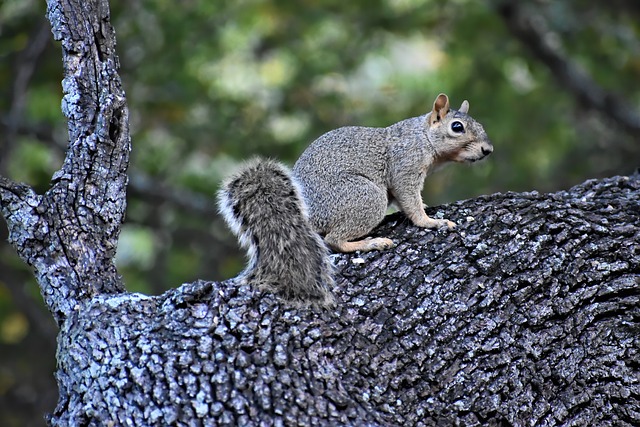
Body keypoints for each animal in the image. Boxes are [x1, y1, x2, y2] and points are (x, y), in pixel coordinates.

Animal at [218, 93, 492, 306]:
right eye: (457, 127)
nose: (487, 150)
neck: (421, 137)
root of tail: (308, 216)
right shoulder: (404, 166)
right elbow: (409, 199)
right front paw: (430, 221)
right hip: (366, 198)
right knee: (333, 240)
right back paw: (370, 243)